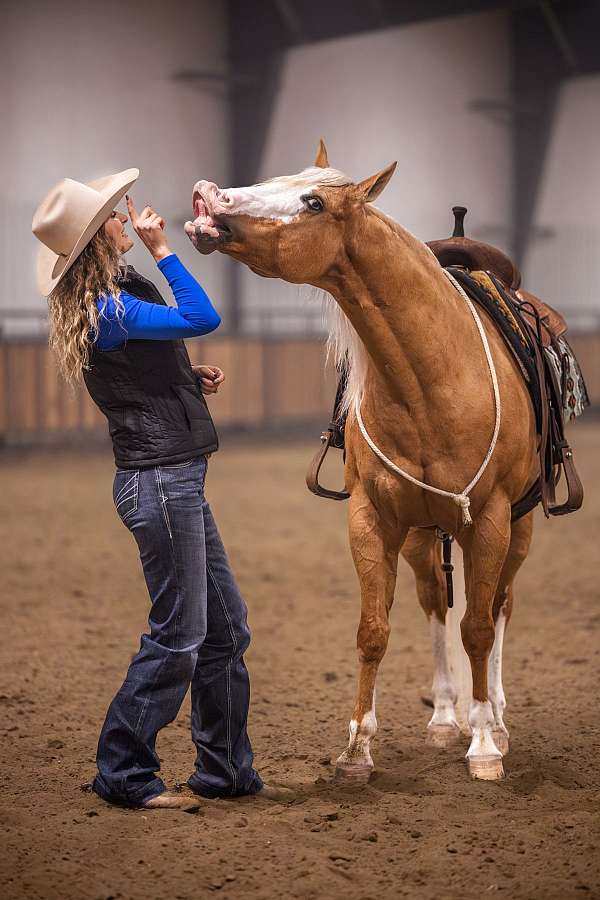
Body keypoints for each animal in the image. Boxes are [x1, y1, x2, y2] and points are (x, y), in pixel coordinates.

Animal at [184, 141, 541, 782]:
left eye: (314, 201)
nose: (207, 196)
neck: (434, 379)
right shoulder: (373, 519)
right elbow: (374, 630)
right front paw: (357, 749)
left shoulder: (492, 520)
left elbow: (477, 628)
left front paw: (483, 747)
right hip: (424, 533)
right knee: (434, 600)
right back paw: (445, 717)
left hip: (517, 530)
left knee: (498, 606)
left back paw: (495, 719)